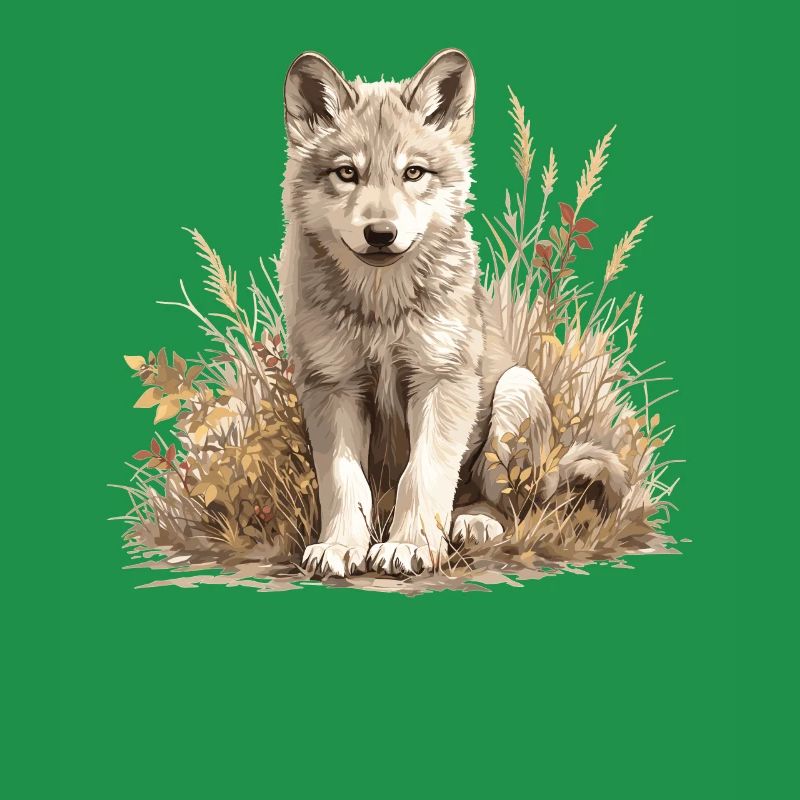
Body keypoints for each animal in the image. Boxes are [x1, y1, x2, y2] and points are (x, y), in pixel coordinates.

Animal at [279, 49, 627, 577]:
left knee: (509, 507)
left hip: (515, 392)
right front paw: (340, 546)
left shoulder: (442, 380)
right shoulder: (332, 386)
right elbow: (343, 482)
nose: (380, 234)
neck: (382, 309)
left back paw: (474, 522)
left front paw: (410, 546)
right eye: (347, 173)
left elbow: (423, 474)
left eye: (414, 173)